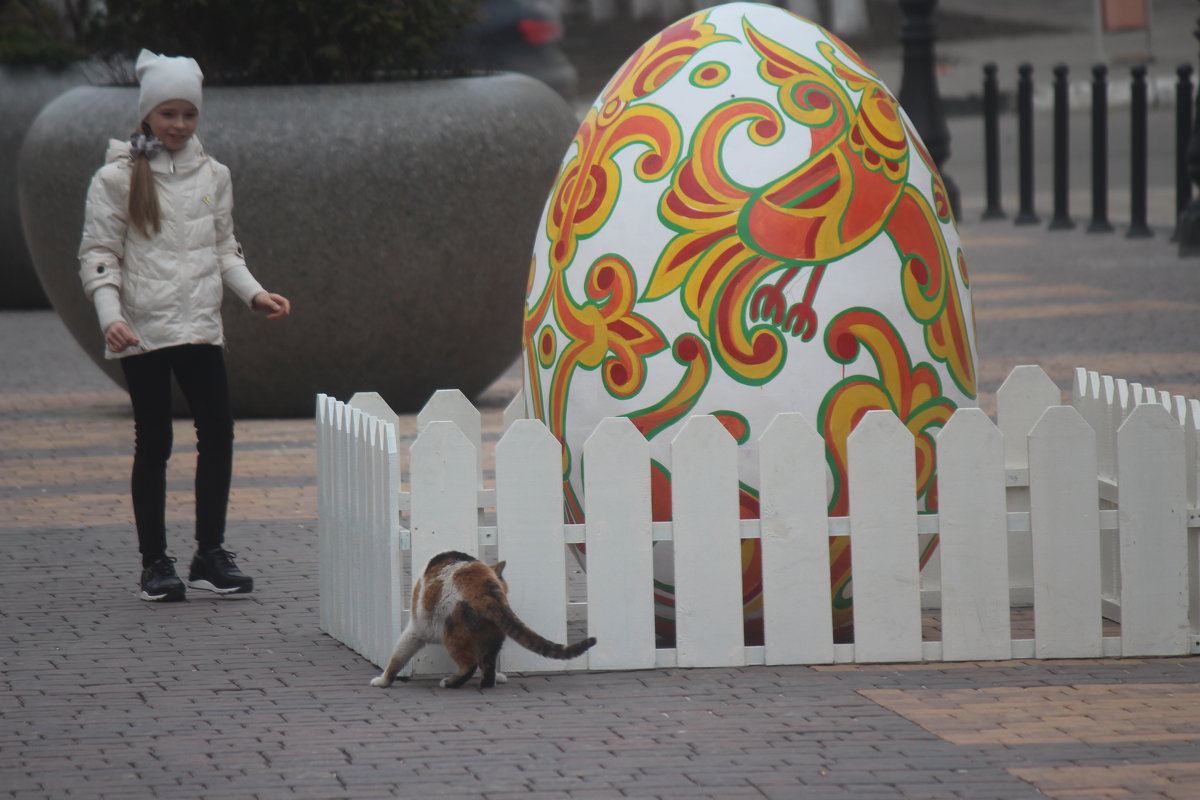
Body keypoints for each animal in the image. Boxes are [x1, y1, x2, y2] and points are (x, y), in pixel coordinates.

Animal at [367, 551, 597, 690]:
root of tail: (486, 588)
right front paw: (500, 676)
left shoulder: (416, 630)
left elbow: (398, 657)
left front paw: (383, 680)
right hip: (492, 635)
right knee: (486, 666)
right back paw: (488, 681)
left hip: (452, 632)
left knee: (468, 664)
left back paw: (450, 682)